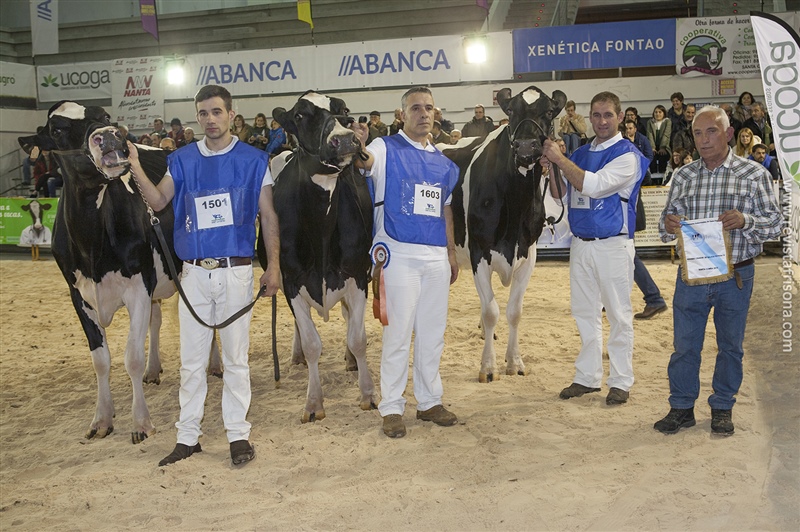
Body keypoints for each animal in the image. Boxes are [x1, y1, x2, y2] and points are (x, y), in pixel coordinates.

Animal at [19, 102, 179, 442]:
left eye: (104, 116)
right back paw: (154, 370)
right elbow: (100, 360)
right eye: (56, 129)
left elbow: (131, 357)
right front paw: (103, 418)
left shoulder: (138, 287)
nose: (109, 135)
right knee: (156, 320)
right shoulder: (79, 296)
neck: (92, 243)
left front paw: (141, 422)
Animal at [260, 92, 378, 424]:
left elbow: (358, 338)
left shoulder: (357, 275)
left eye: (344, 109)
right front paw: (313, 403)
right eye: (300, 115)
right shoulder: (291, 282)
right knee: (302, 329)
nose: (346, 139)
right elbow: (313, 343)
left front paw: (367, 394)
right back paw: (297, 353)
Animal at [440, 85, 564, 382]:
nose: (526, 146)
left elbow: (514, 312)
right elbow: (491, 311)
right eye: (511, 111)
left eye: (549, 112)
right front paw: (488, 367)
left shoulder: (528, 254)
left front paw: (514, 361)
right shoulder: (479, 252)